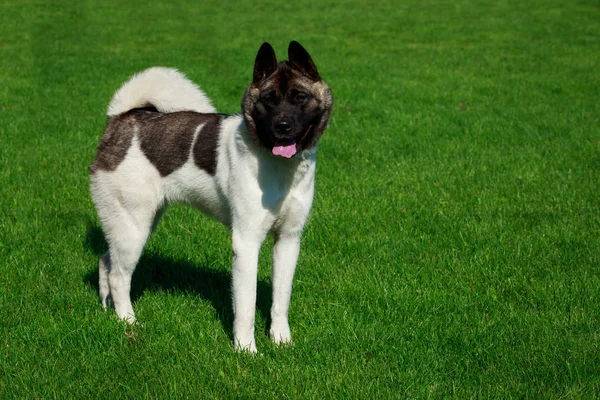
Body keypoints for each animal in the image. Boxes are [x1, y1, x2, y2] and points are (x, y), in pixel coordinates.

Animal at [88, 41, 332, 354]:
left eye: (300, 97)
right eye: (269, 100)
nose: (283, 126)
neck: (279, 167)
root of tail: (121, 118)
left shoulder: (289, 240)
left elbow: (281, 297)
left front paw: (281, 340)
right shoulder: (246, 242)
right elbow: (246, 305)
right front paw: (246, 350)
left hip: (131, 224)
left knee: (106, 261)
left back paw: (107, 309)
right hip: (134, 227)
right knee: (119, 276)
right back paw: (127, 322)